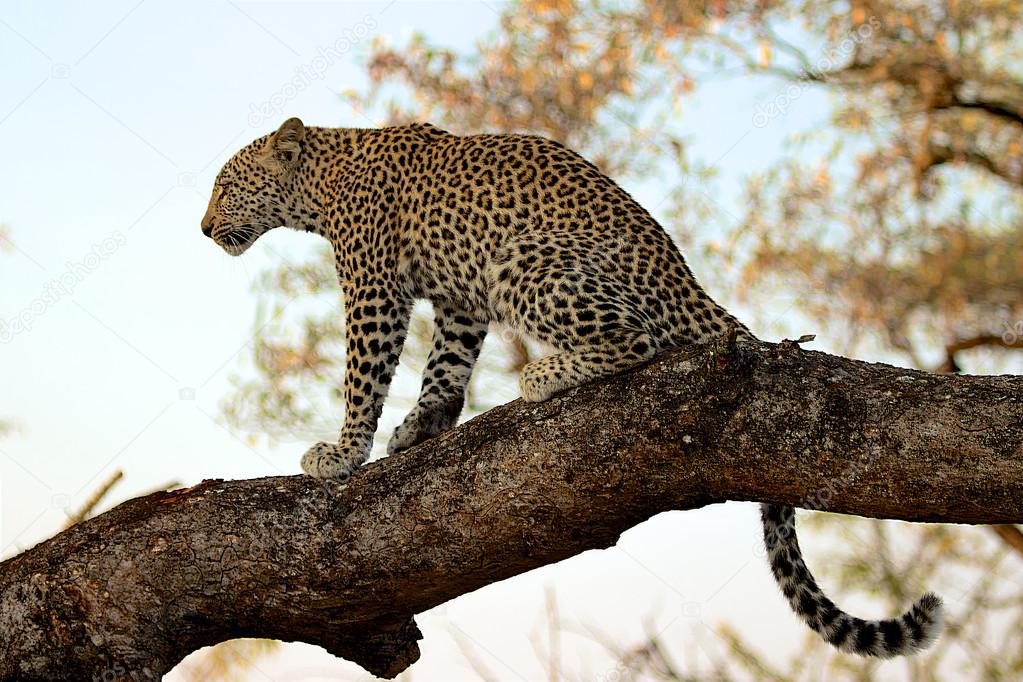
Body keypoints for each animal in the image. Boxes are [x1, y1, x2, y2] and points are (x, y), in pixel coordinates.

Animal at [203, 116, 945, 654]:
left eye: (226, 185)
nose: (205, 229)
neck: (321, 183)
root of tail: (694, 289)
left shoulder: (374, 289)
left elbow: (364, 375)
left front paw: (341, 452)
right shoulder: (459, 300)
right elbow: (446, 368)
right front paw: (421, 428)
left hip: (522, 258)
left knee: (638, 339)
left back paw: (542, 376)